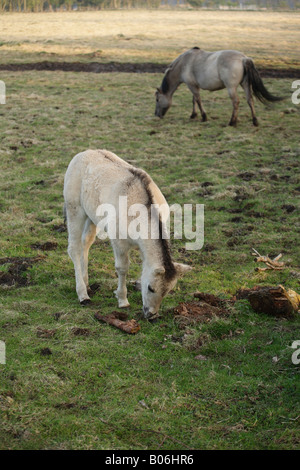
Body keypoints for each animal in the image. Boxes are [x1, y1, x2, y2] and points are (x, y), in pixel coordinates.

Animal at [63, 151, 191, 320]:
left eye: (168, 291)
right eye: (150, 288)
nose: (151, 315)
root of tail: (81, 154)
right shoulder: (118, 240)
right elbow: (122, 267)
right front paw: (123, 300)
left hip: (92, 215)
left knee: (86, 243)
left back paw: (87, 284)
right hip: (74, 207)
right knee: (74, 248)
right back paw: (83, 295)